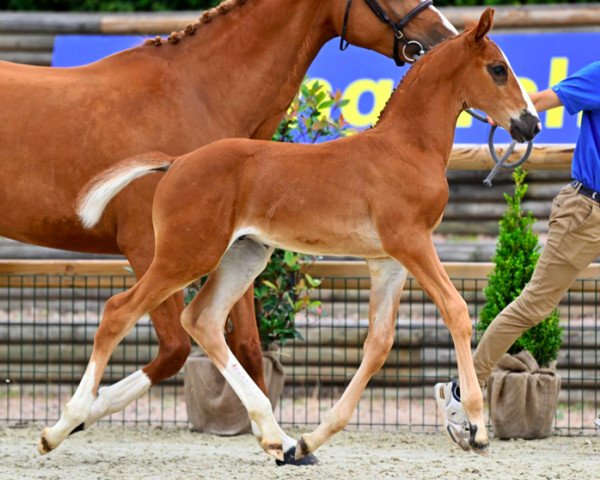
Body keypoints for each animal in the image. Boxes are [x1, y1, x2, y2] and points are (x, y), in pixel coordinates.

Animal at [75, 7, 540, 462]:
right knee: (118, 311)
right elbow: (456, 310)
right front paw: (476, 427)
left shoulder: (387, 261)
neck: (406, 147)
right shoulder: (411, 242)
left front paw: (310, 440)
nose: (531, 124)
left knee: (201, 320)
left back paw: (278, 441)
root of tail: (176, 162)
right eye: (498, 69)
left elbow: (379, 343)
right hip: (186, 254)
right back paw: (68, 422)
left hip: (243, 256)